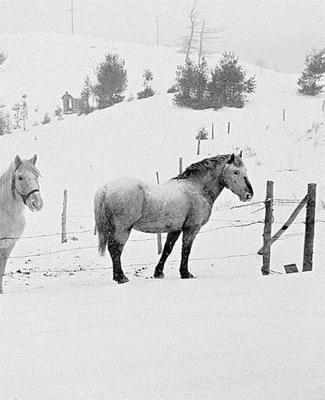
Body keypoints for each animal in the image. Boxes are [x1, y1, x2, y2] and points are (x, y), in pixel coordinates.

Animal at [94, 153, 253, 284]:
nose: (249, 195)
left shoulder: (175, 229)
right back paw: (121, 278)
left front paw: (158, 273)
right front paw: (185, 274)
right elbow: (186, 249)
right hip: (123, 229)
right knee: (115, 249)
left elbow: (167, 249)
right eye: (236, 171)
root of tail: (105, 188)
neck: (196, 188)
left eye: (246, 170)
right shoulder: (191, 228)